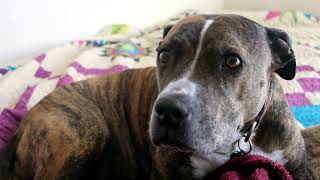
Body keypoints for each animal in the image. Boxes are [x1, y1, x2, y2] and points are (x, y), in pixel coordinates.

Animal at [0, 14, 312, 179]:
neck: (239, 140)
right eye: (164, 54)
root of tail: (23, 123)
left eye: (232, 61)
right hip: (83, 132)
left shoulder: (298, 166)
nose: (169, 110)